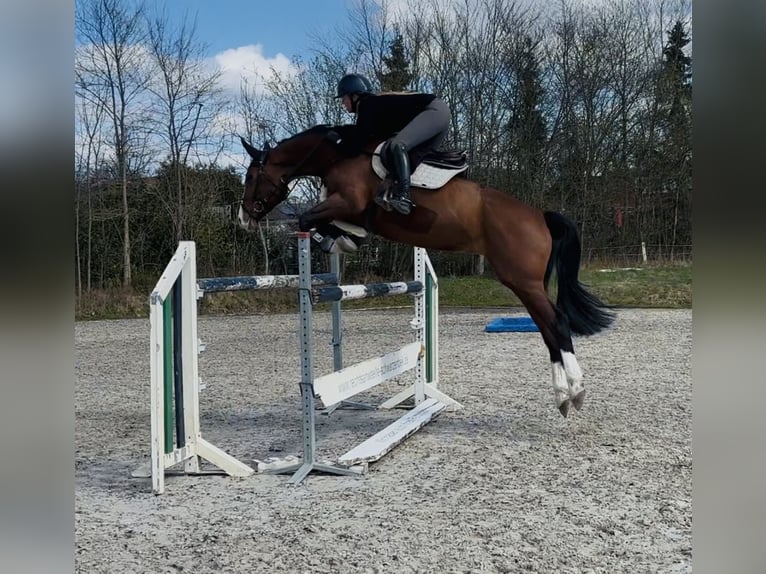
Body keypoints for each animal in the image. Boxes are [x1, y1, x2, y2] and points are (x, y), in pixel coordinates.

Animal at [237, 124, 614, 417]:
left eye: (252, 176)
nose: (243, 218)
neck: (337, 157)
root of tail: (540, 216)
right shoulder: (347, 211)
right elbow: (328, 224)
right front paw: (342, 239)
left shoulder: (347, 203)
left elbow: (306, 220)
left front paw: (330, 239)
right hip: (523, 283)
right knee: (547, 330)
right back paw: (562, 397)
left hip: (523, 280)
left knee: (557, 324)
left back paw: (575, 390)